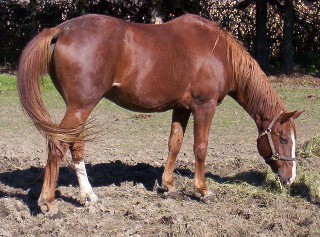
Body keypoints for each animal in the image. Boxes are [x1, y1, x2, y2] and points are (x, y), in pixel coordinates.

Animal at [17, 12, 302, 213]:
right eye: (283, 139)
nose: (290, 179)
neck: (219, 52)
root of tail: (60, 30)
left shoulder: (181, 108)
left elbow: (174, 144)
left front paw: (169, 186)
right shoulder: (204, 107)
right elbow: (200, 148)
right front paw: (203, 191)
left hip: (80, 109)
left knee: (75, 147)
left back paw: (89, 196)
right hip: (80, 107)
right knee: (58, 145)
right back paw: (49, 203)